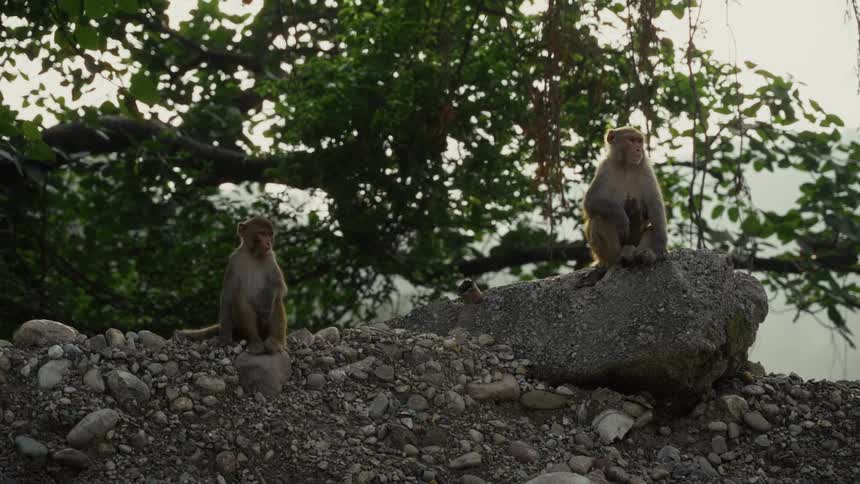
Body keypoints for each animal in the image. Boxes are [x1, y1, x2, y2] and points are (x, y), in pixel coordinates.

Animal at [176, 216, 288, 354]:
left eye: (269, 234)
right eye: (262, 233)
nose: (268, 243)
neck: (252, 255)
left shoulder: (270, 258)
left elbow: (279, 287)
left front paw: (266, 305)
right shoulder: (234, 261)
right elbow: (228, 295)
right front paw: (224, 338)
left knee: (276, 301)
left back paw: (275, 342)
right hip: (239, 326)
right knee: (239, 298)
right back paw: (255, 342)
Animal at [582, 127, 668, 268]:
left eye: (639, 141)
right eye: (631, 140)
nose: (638, 149)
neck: (626, 166)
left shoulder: (645, 168)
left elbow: (654, 205)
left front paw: (660, 248)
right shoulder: (605, 168)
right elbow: (591, 202)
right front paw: (621, 217)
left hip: (635, 240)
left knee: (652, 229)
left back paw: (643, 254)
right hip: (604, 255)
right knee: (599, 219)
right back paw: (619, 257)